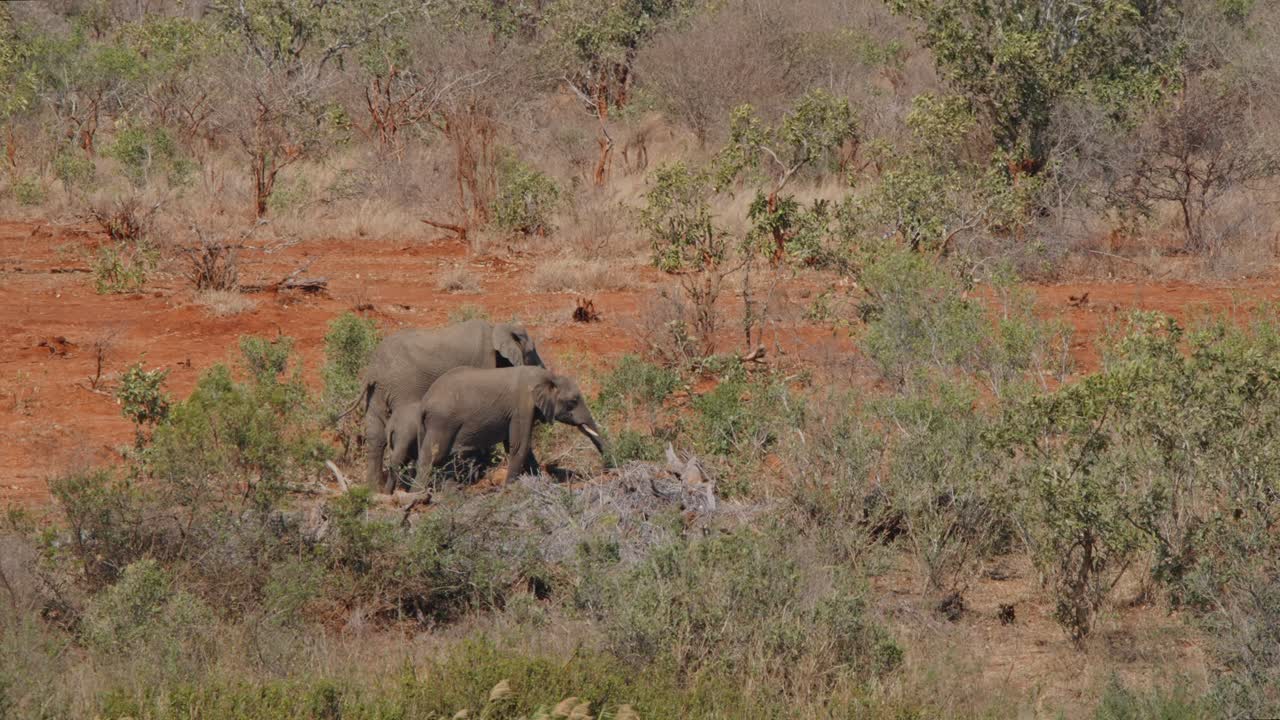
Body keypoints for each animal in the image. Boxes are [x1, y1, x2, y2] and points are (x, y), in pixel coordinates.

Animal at [359, 319, 543, 492]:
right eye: (531, 352)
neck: (497, 328)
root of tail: (373, 370)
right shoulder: (484, 361)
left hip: (376, 393)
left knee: (376, 436)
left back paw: (374, 489)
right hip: (402, 386)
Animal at [415, 366, 604, 482]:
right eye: (572, 402)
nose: (606, 467)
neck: (549, 376)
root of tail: (424, 402)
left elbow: (519, 447)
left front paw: (540, 482)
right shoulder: (521, 406)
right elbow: (520, 446)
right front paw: (509, 489)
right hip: (441, 421)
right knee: (433, 456)